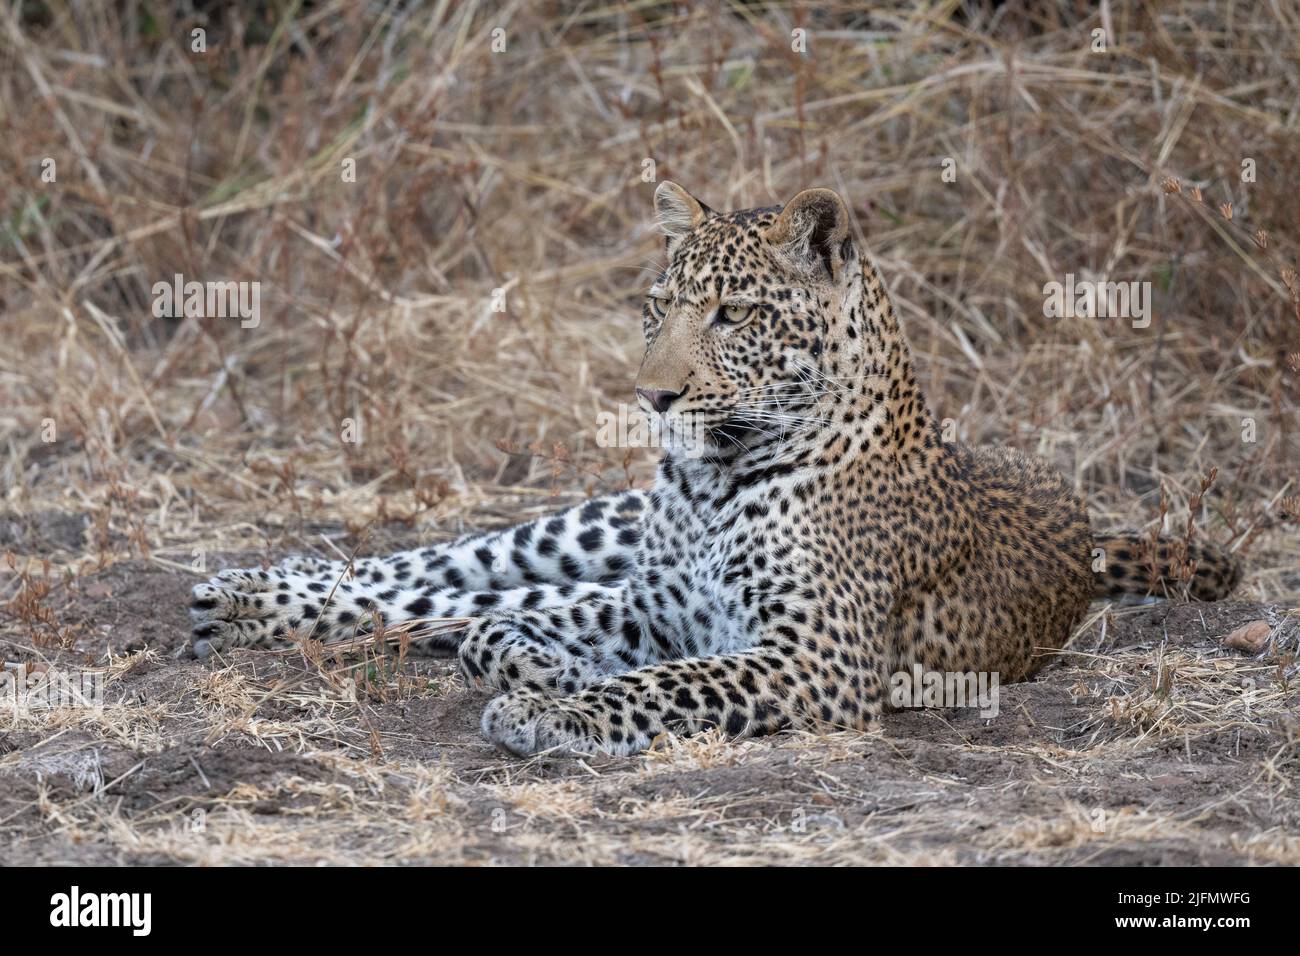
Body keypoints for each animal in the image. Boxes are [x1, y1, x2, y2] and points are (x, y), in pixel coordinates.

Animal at [189, 181, 1242, 757]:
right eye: (659, 305)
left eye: (735, 314)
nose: (653, 397)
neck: (713, 485)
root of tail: (1097, 535)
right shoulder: (654, 608)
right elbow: (557, 638)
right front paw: (547, 675)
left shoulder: (815, 659)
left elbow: (656, 682)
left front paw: (547, 704)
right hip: (589, 528)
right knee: (437, 575)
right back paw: (247, 593)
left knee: (456, 605)